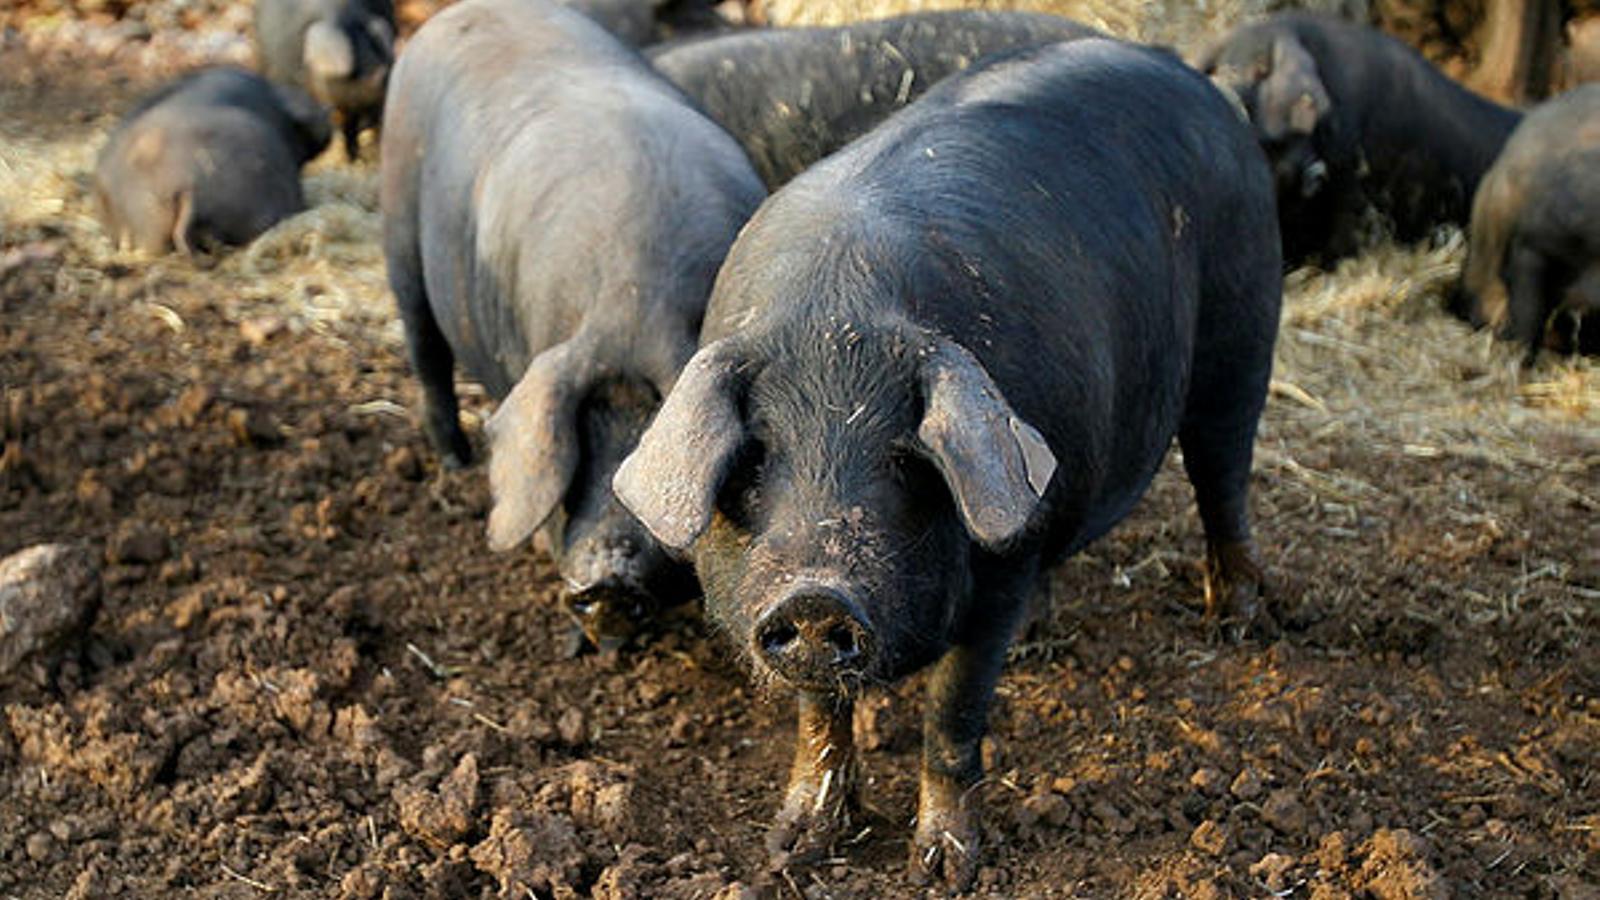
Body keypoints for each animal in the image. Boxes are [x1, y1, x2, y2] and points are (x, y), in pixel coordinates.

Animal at [380, 0, 765, 651]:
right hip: (400, 235)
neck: (630, 304)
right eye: (581, 434)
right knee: (425, 351)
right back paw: (455, 461)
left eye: (647, 444)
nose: (608, 580)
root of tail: (450, 16)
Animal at [613, 38, 1281, 889]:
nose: (817, 595)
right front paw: (793, 846)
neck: (835, 312)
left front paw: (944, 869)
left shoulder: (999, 575)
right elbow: (820, 717)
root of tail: (1185, 73)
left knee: (1223, 478)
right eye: (755, 461)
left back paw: (1237, 624)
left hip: (1244, 333)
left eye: (906, 461)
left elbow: (952, 711)